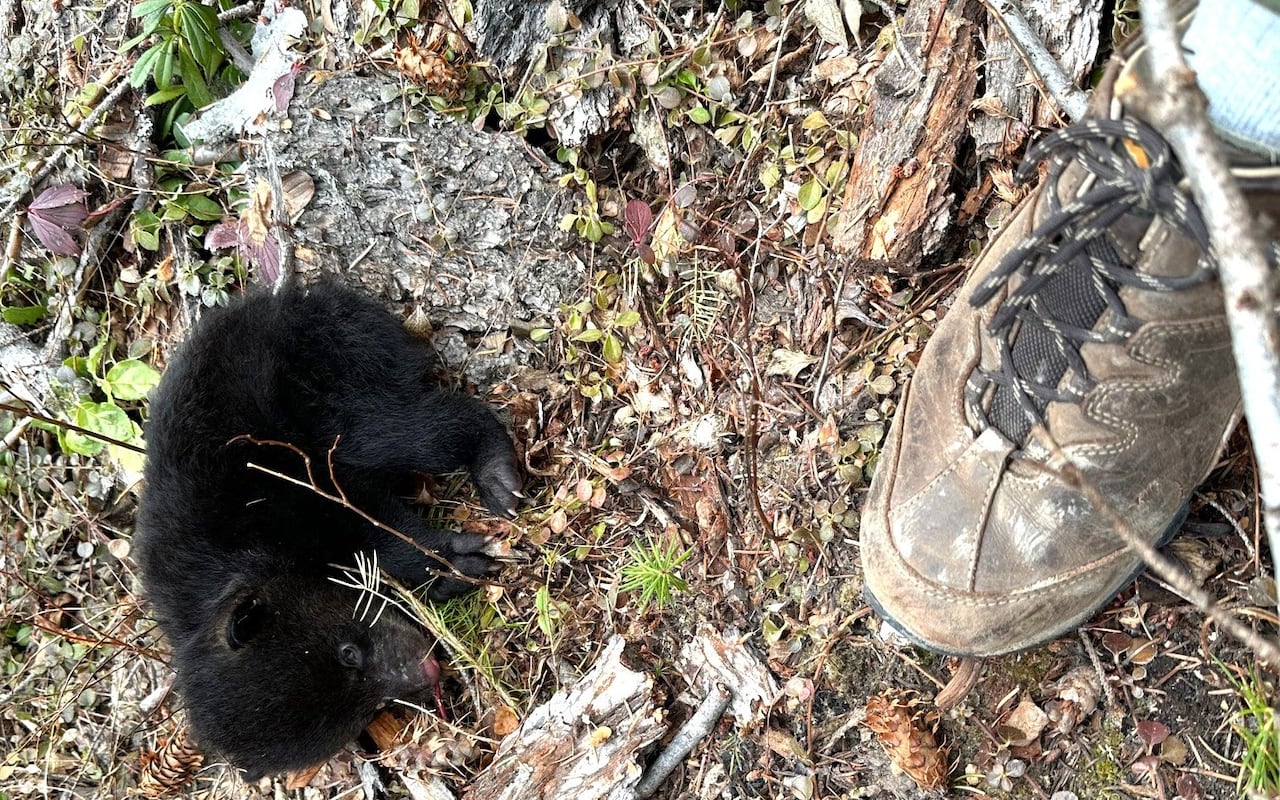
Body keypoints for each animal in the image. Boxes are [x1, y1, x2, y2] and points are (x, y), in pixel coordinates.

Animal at [133, 281, 521, 779]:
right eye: (371, 710)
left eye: (347, 651)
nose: (428, 670)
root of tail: (295, 298)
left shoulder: (280, 491)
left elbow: (367, 517)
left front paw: (451, 562)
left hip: (325, 376)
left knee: (405, 431)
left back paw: (496, 473)